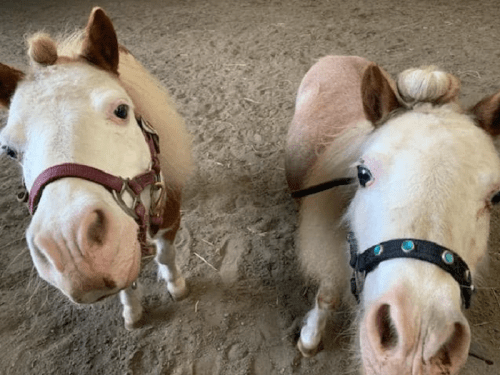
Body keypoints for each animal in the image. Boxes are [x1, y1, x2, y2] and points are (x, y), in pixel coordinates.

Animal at [0, 5, 193, 328]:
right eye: (9, 151)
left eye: (121, 110)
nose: (70, 249)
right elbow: (127, 283)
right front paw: (132, 311)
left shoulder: (169, 219)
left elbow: (166, 255)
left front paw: (176, 286)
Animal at [288, 56, 500, 375]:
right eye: (363, 174)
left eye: (495, 197)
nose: (416, 345)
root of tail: (340, 56)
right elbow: (327, 297)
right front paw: (309, 339)